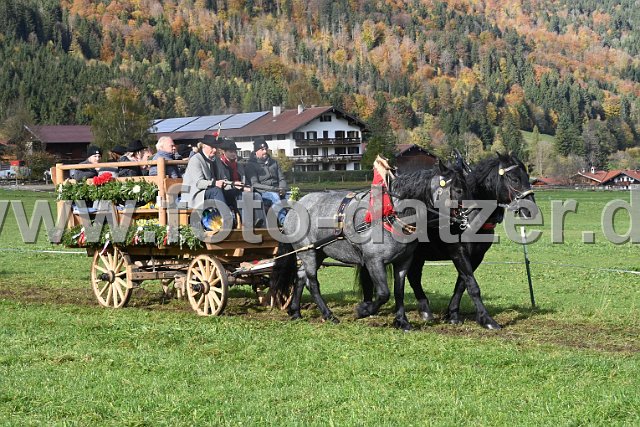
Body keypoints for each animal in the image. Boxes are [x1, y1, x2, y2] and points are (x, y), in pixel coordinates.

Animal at [270, 159, 467, 329]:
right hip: (308, 252)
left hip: (317, 252)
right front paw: (363, 310)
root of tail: (295, 206)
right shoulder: (374, 261)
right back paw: (329, 315)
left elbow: (399, 291)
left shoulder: (403, 261)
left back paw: (296, 312)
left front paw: (402, 322)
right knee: (312, 283)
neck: (390, 214)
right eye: (456, 189)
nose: (465, 215)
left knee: (300, 277)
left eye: (464, 186)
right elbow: (383, 293)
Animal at [359, 152, 537, 329]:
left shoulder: (477, 256)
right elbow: (472, 285)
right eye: (514, 179)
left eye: (528, 177)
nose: (530, 211)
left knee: (412, 276)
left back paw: (424, 310)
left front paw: (452, 314)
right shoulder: (458, 252)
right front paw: (486, 319)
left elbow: (462, 284)